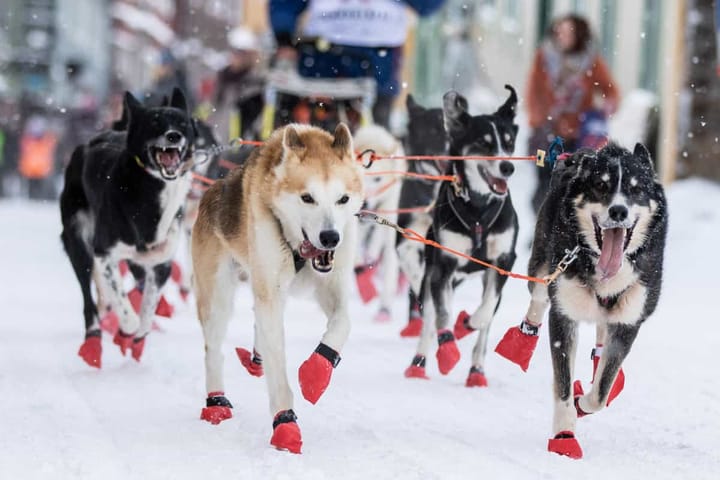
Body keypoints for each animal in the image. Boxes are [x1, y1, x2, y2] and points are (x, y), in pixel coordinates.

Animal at [59, 88, 197, 370]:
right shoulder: (105, 254)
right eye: (155, 122)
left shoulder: (161, 263)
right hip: (78, 242)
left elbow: (147, 308)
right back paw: (93, 339)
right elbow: (126, 309)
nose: (173, 136)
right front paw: (126, 329)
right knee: (88, 298)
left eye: (182, 123)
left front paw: (137, 337)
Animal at [404, 86, 516, 386]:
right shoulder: (443, 265)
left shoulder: (503, 262)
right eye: (483, 143)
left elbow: (485, 312)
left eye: (509, 143)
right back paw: (419, 363)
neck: (477, 210)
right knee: (430, 318)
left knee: (483, 330)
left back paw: (476, 371)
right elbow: (442, 313)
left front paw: (468, 323)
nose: (508, 167)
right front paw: (447, 350)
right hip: (432, 273)